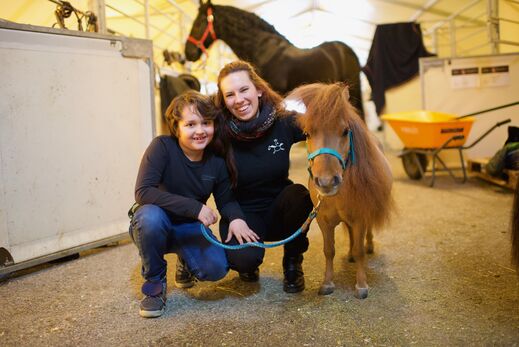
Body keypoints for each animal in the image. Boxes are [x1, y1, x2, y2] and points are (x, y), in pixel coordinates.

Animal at [288, 83, 394, 300]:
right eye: (307, 134)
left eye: (345, 131)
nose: (327, 182)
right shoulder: (323, 221)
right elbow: (329, 250)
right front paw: (327, 283)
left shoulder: (361, 216)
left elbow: (361, 251)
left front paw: (361, 286)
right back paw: (350, 255)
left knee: (365, 236)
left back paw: (369, 246)